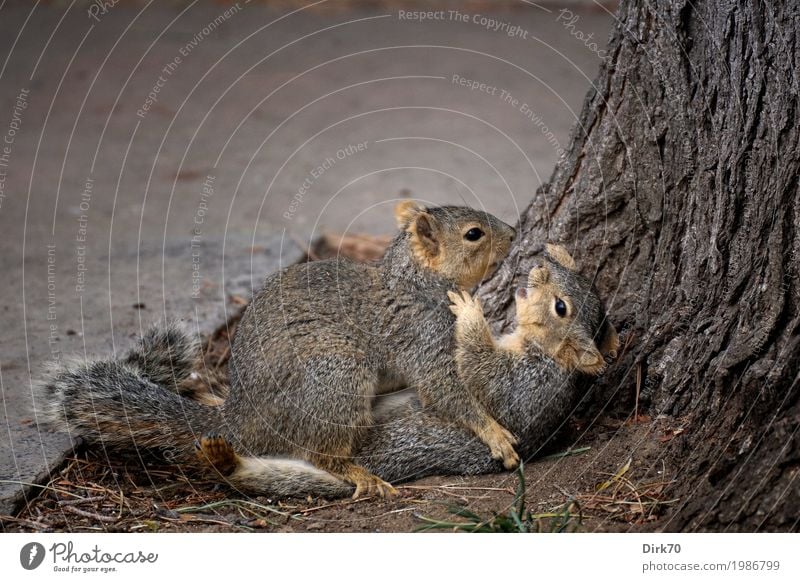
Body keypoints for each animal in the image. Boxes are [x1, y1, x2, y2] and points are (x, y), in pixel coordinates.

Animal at [34, 203, 516, 500]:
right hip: (335, 376)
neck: (418, 283)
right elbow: (445, 391)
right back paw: (359, 475)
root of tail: (239, 419)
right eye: (473, 234)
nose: (513, 233)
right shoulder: (419, 334)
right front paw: (494, 433)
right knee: (320, 455)